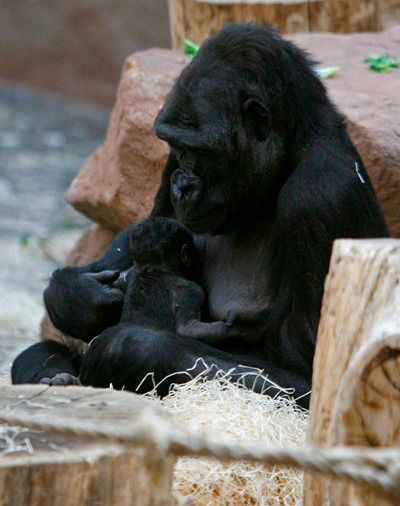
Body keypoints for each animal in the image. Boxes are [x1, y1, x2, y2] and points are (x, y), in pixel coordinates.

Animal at [11, 25, 388, 410]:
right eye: (177, 146)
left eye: (203, 151)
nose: (183, 185)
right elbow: (137, 236)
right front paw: (76, 296)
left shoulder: (320, 194)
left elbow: (309, 374)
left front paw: (129, 348)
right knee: (35, 353)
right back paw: (57, 375)